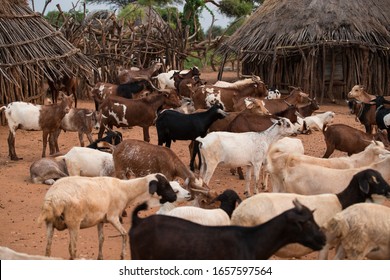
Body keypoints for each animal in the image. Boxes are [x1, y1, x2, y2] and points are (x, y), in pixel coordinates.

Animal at [37, 173, 177, 260]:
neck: (126, 190)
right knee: (73, 249)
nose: (174, 197)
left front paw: (100, 257)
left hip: (50, 223)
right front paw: (122, 256)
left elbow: (101, 239)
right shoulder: (112, 216)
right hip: (74, 222)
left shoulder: (100, 219)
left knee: (48, 249)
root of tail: (53, 198)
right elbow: (124, 234)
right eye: (163, 185)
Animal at [232, 167, 390, 260]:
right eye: (373, 179)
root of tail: (237, 214)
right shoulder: (326, 244)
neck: (341, 202)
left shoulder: (341, 245)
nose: (389, 191)